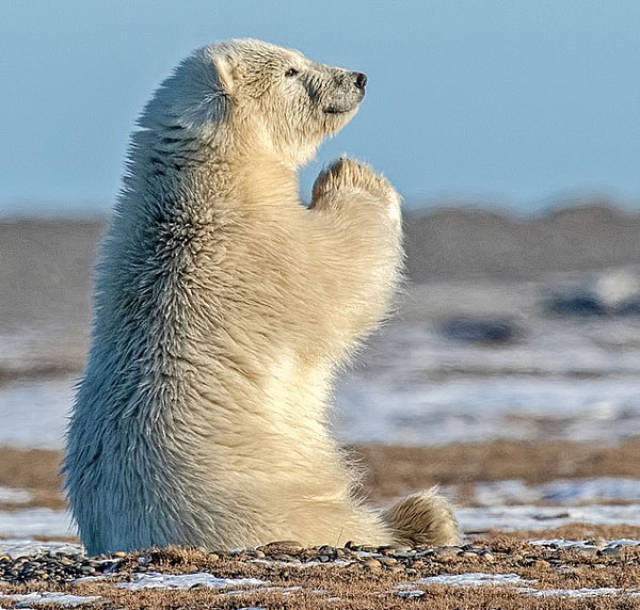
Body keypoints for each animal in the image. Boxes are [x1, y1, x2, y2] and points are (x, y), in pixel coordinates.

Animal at [62, 36, 458, 552]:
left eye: (300, 57)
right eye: (291, 71)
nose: (357, 78)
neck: (210, 181)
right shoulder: (261, 249)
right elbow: (344, 271)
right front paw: (351, 173)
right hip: (265, 505)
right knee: (340, 524)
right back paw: (425, 517)